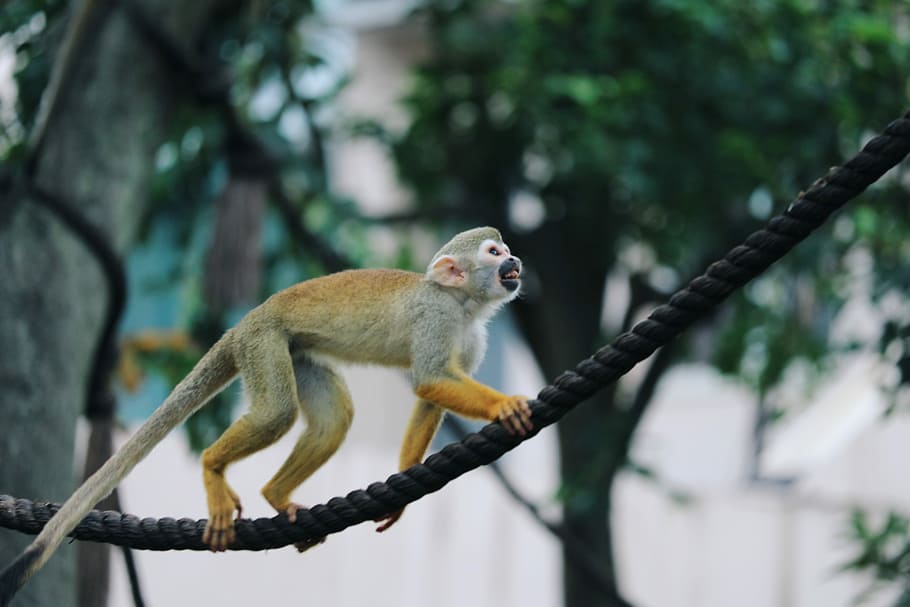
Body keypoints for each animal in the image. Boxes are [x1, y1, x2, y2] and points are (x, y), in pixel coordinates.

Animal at [0, 226, 533, 603]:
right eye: (492, 252)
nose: (514, 261)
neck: (462, 304)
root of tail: (243, 322)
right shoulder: (434, 316)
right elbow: (429, 380)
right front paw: (504, 405)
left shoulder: (472, 335)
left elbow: (430, 394)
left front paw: (401, 485)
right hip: (264, 343)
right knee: (277, 411)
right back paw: (213, 466)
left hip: (293, 349)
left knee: (335, 415)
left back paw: (276, 493)